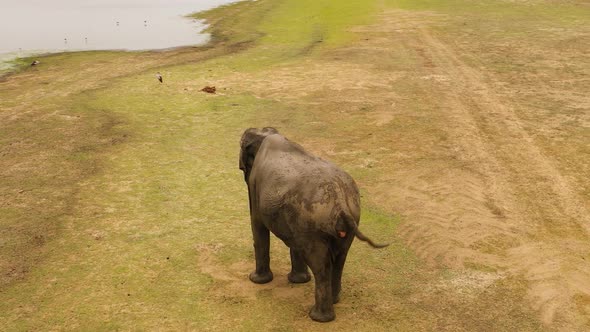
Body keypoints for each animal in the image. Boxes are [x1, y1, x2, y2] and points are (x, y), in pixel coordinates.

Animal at [240, 127, 388, 322]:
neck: (266, 134)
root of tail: (340, 200)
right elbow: (292, 242)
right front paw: (298, 280)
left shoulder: (255, 185)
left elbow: (258, 225)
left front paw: (256, 280)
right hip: (345, 220)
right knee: (339, 259)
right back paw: (334, 300)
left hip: (313, 226)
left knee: (321, 265)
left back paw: (318, 317)